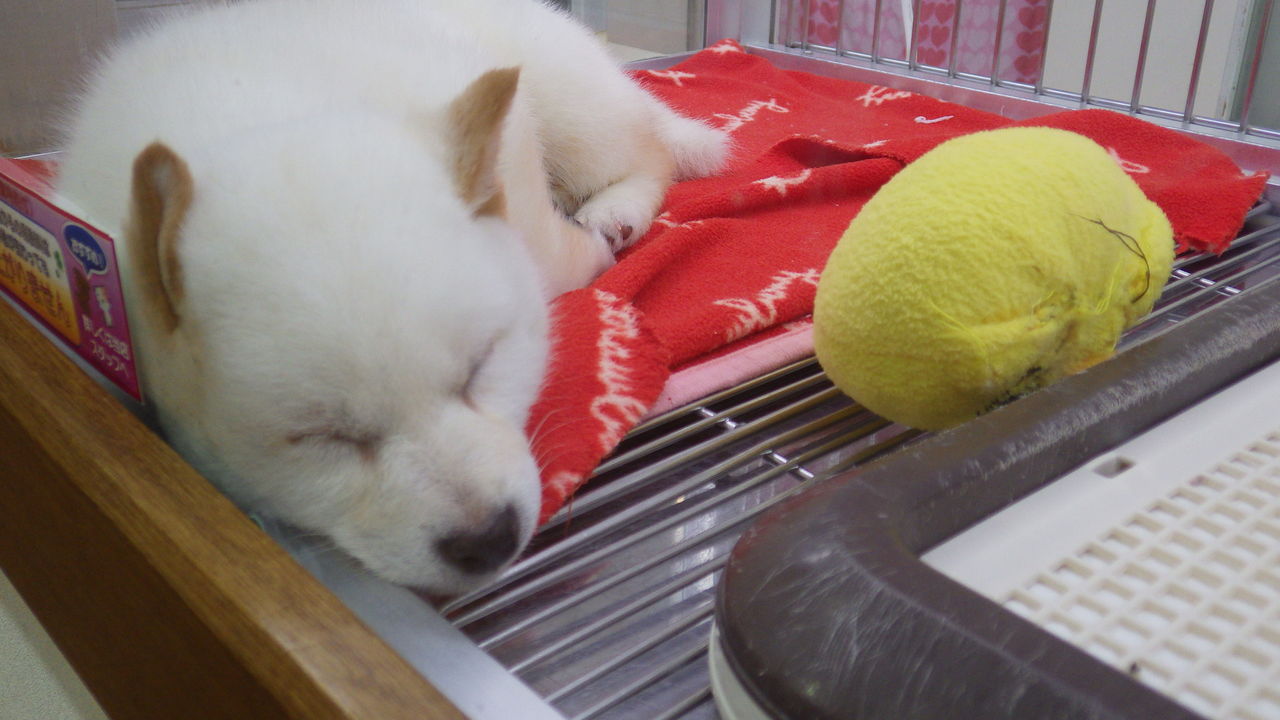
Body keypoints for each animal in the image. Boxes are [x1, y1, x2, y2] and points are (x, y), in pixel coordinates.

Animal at [56, 0, 729, 594]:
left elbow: (568, 257)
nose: (488, 538)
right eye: (324, 439)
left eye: (480, 369)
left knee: (650, 153)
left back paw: (618, 209)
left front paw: (595, 243)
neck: (269, 119)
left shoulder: (532, 221)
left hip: (573, 108)